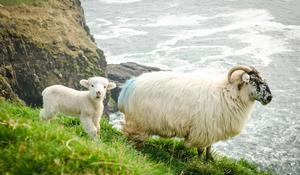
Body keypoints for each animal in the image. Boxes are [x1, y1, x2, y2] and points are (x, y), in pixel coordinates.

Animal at [118, 65, 274, 159]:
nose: (270, 98)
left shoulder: (213, 129)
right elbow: (200, 149)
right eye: (256, 81)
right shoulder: (202, 131)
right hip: (137, 122)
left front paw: (209, 159)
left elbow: (209, 147)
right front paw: (199, 162)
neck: (228, 94)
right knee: (130, 137)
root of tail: (129, 86)